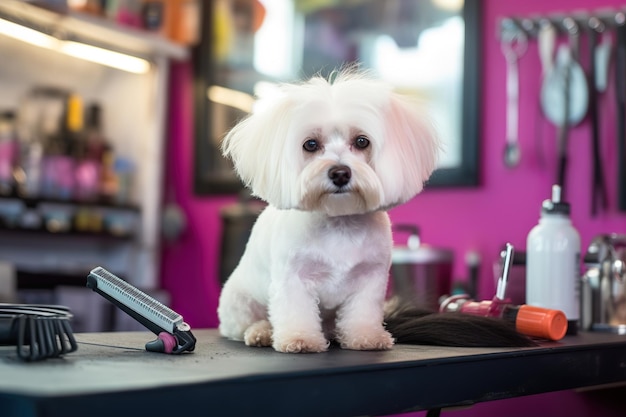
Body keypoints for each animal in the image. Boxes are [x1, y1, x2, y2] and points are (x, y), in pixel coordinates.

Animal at [217, 68, 436, 352]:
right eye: (310, 144)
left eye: (362, 141)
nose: (340, 173)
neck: (338, 222)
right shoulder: (293, 279)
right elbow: (296, 311)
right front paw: (300, 339)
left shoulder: (370, 280)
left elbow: (363, 313)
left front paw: (366, 337)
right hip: (240, 302)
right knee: (247, 324)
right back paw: (262, 332)